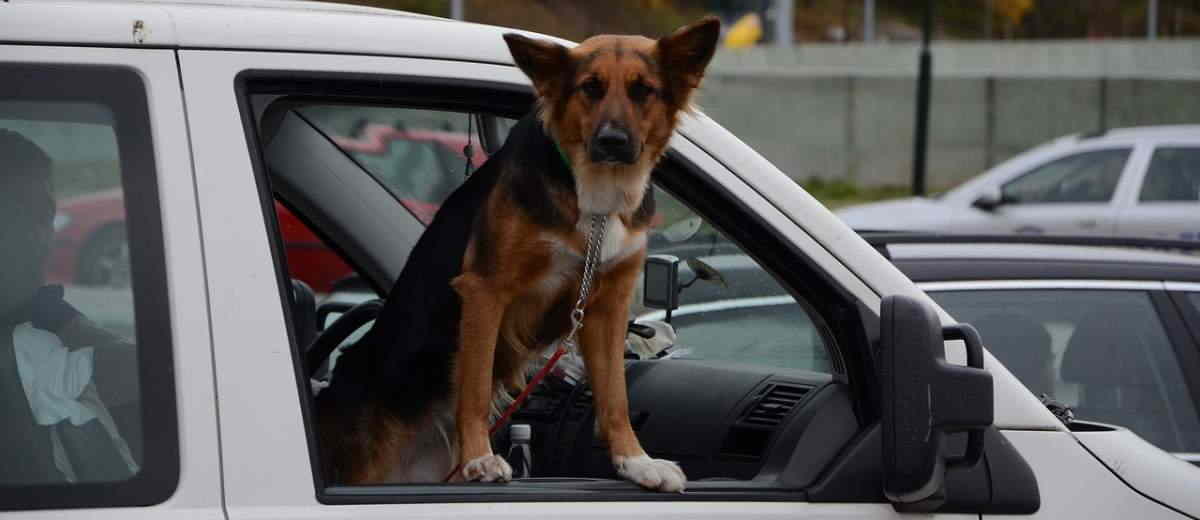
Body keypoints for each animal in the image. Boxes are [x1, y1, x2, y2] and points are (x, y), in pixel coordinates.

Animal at [314, 18, 715, 492]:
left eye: (643, 90)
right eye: (590, 88)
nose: (613, 141)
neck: (595, 196)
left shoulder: (606, 306)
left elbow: (615, 396)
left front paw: (636, 461)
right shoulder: (485, 290)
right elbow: (473, 387)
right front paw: (479, 459)